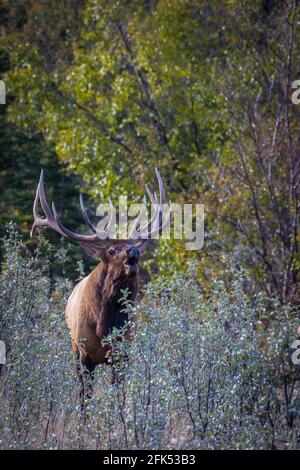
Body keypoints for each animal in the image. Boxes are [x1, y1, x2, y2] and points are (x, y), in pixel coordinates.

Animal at [31, 169, 171, 408]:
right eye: (112, 251)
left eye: (130, 246)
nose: (133, 252)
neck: (105, 324)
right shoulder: (84, 353)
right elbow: (85, 397)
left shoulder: (123, 352)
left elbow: (118, 394)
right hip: (73, 346)